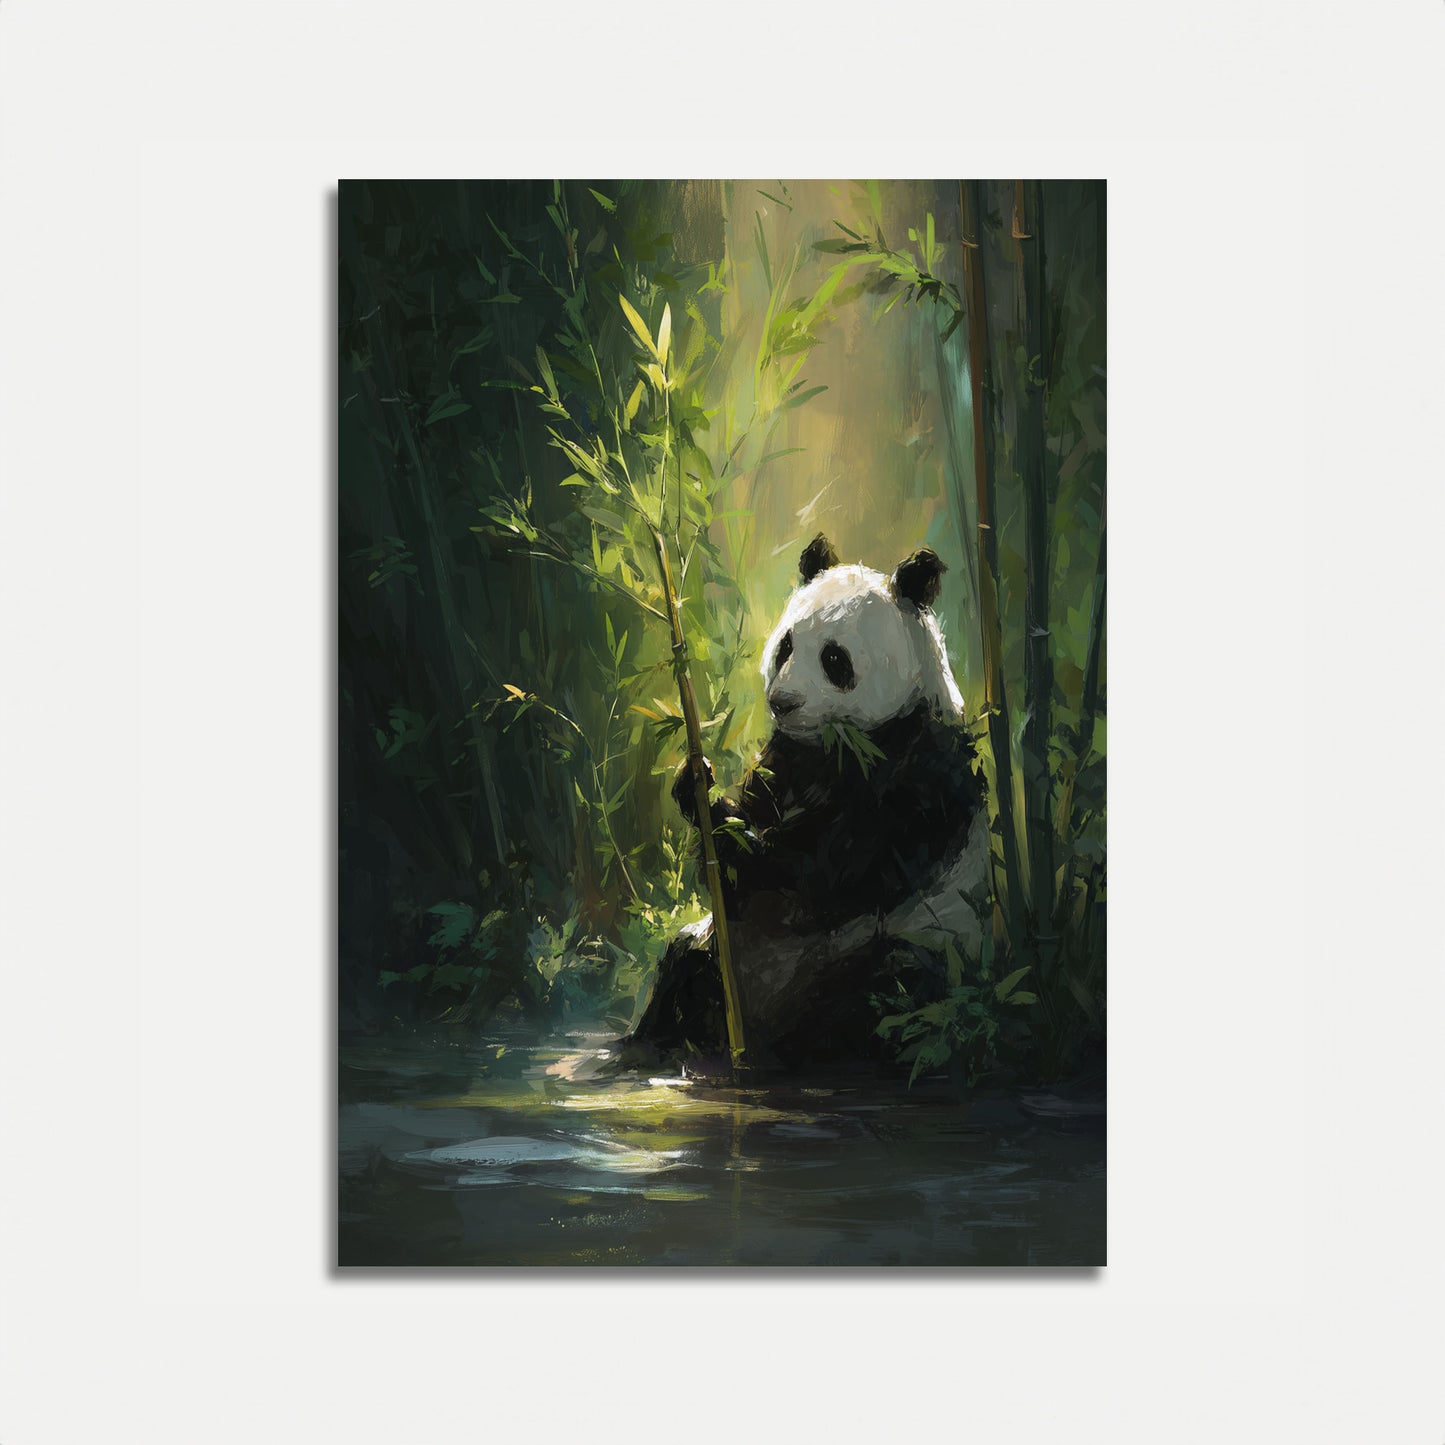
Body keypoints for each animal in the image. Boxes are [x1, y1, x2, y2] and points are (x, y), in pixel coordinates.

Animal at [617, 533, 991, 1075]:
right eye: (786, 646)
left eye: (835, 659)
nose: (783, 703)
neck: (836, 745)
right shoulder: (787, 758)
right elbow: (737, 881)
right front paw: (700, 785)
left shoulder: (918, 777)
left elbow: (821, 876)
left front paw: (733, 829)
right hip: (722, 955)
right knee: (685, 966)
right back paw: (649, 1047)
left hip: (910, 949)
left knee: (886, 993)